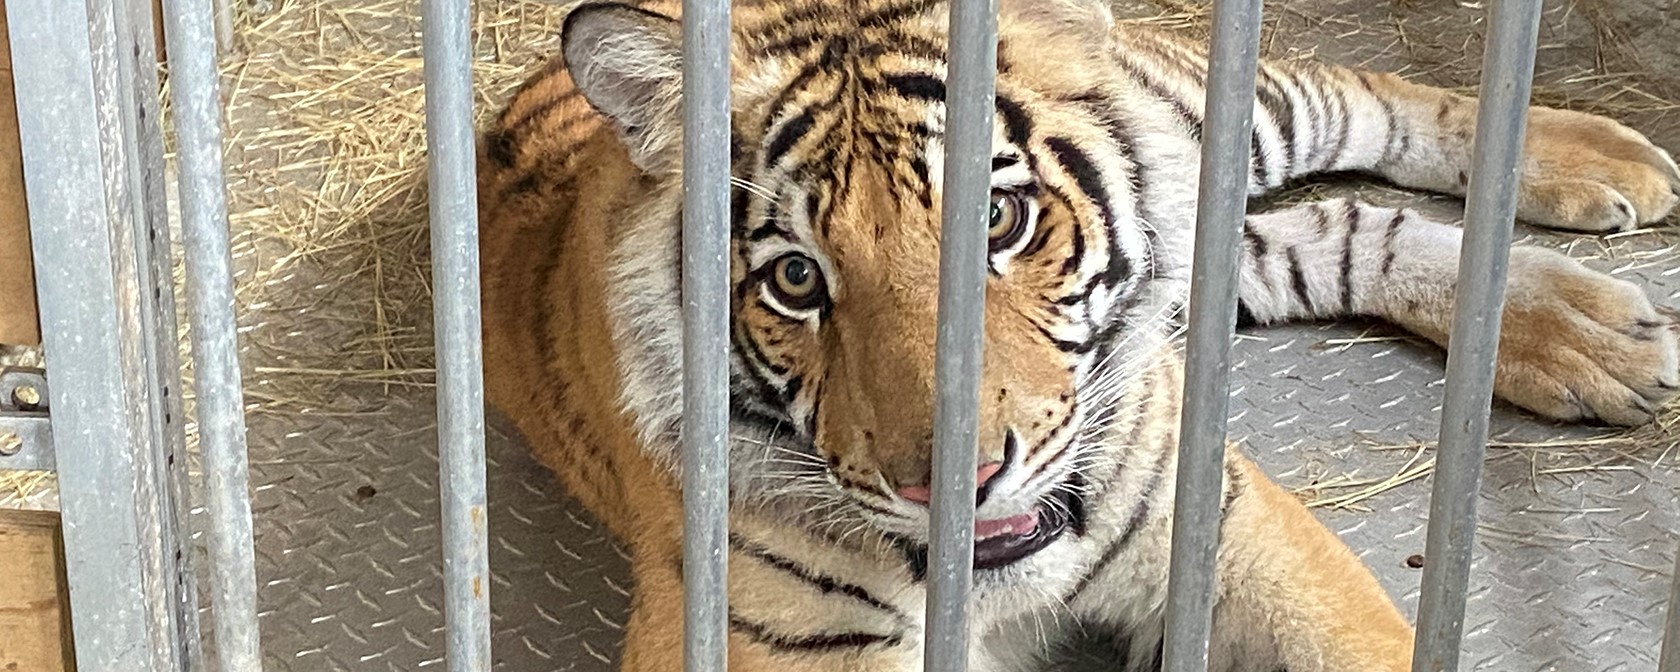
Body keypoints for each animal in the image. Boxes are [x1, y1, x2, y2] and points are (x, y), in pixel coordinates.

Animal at [477, 2, 1680, 668]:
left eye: (998, 221)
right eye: (796, 279)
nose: (955, 484)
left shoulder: (1223, 525)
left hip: (1221, 111)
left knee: (1365, 97)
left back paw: (1602, 171)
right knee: (1333, 227)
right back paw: (1593, 333)